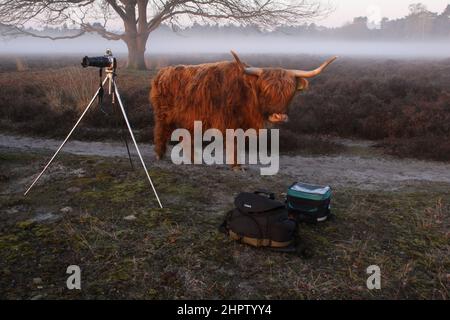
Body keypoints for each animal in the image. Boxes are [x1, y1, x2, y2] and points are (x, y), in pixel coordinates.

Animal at [149, 51, 336, 164]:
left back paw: (193, 159)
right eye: (265, 90)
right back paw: (159, 154)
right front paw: (237, 166)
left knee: (185, 135)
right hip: (163, 113)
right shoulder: (228, 122)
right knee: (160, 130)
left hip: (189, 116)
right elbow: (233, 144)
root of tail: (162, 72)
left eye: (290, 92)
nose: (279, 116)